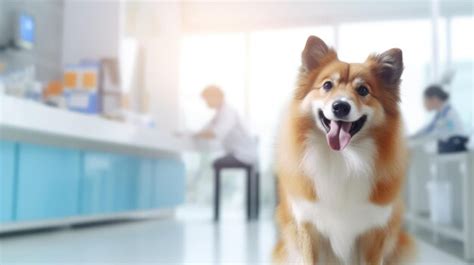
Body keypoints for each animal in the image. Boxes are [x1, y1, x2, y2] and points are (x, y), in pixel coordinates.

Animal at [274, 35, 414, 264]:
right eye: (327, 85)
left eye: (363, 90)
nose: (340, 106)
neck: (343, 159)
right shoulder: (308, 226)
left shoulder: (374, 231)